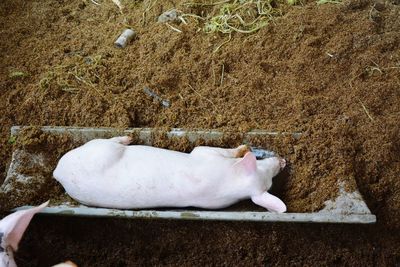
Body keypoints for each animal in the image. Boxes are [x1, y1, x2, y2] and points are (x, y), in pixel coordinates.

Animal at [53, 136, 286, 214]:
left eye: (270, 182)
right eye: (263, 166)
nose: (282, 161)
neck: (230, 181)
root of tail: (58, 172)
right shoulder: (204, 154)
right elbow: (208, 148)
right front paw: (244, 148)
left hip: (98, 150)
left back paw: (127, 138)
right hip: (97, 149)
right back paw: (129, 137)